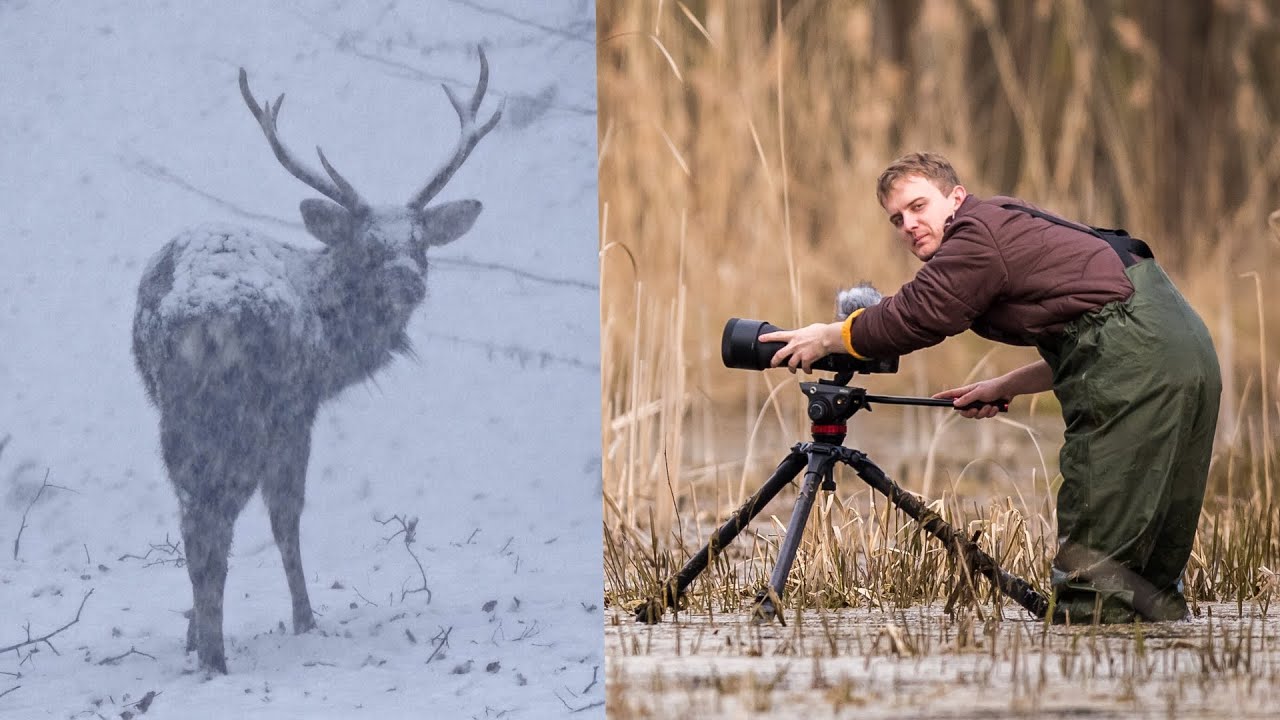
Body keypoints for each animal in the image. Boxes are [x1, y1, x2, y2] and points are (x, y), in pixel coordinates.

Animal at [132, 50, 501, 671]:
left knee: (190, 512)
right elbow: (288, 516)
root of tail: (205, 315)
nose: (409, 281)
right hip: (251, 411)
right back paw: (215, 657)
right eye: (369, 247)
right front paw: (306, 620)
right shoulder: (299, 409)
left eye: (420, 243)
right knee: (218, 520)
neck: (335, 354)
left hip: (176, 418)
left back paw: (200, 641)